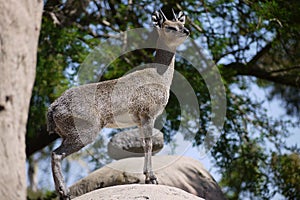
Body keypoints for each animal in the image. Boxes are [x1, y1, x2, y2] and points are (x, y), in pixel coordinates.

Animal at [47, 9, 190, 200]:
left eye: (182, 23)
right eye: (169, 26)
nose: (186, 31)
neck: (159, 77)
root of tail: (53, 108)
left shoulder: (138, 120)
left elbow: (144, 144)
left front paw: (147, 175)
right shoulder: (148, 113)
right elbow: (149, 143)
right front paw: (152, 178)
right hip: (83, 131)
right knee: (56, 154)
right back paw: (65, 193)